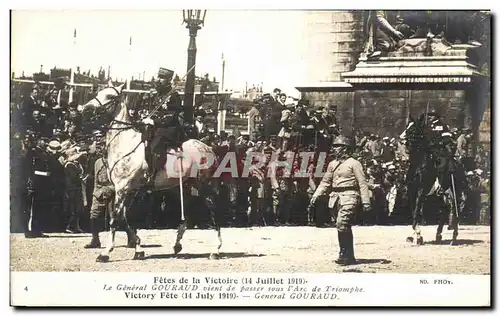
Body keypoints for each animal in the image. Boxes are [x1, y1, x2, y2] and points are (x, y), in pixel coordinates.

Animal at [81, 81, 222, 262]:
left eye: (110, 96)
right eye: (98, 93)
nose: (85, 109)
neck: (125, 144)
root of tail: (208, 148)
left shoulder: (123, 189)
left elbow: (116, 219)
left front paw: (105, 253)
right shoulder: (125, 190)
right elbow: (125, 219)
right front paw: (138, 249)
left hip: (205, 185)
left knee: (213, 209)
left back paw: (216, 250)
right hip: (184, 186)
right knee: (190, 211)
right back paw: (177, 245)